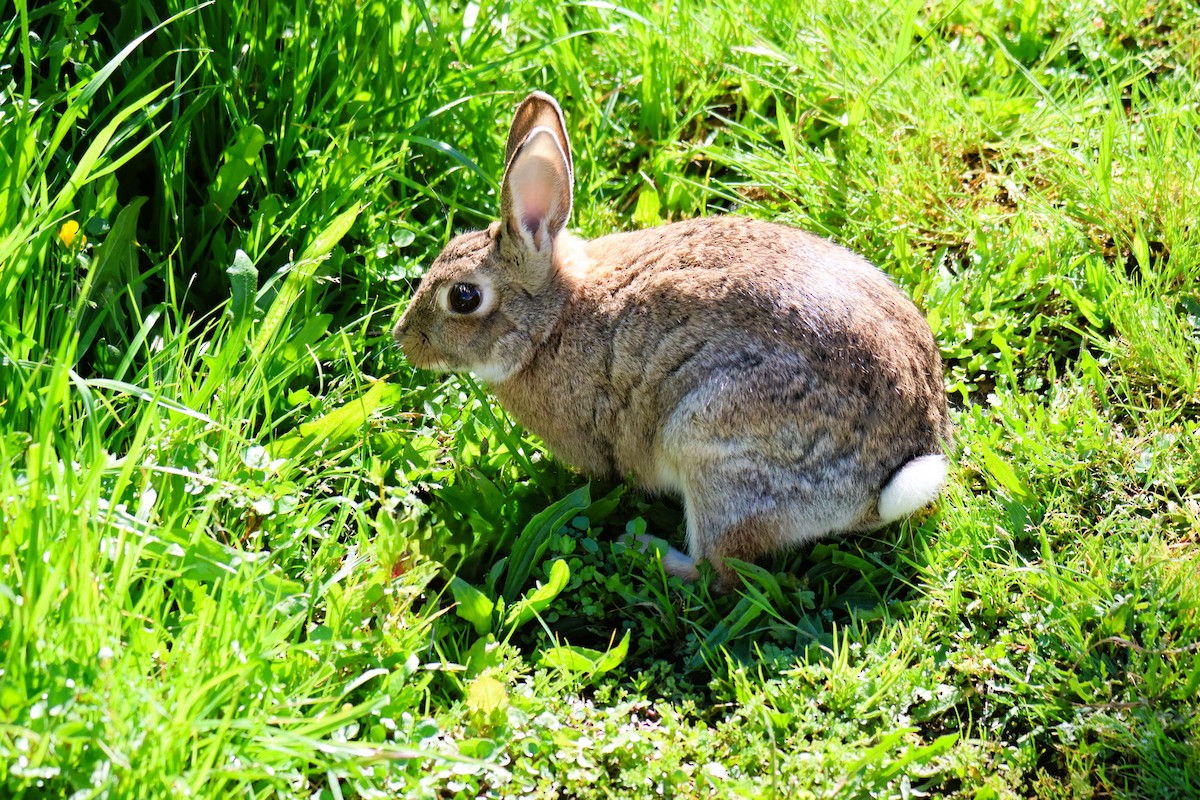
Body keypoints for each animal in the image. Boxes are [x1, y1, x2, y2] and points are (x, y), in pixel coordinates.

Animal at [394, 91, 951, 591]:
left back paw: (646, 551)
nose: (404, 339)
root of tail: (882, 485)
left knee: (721, 572)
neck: (553, 319)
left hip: (713, 448)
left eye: (464, 297)